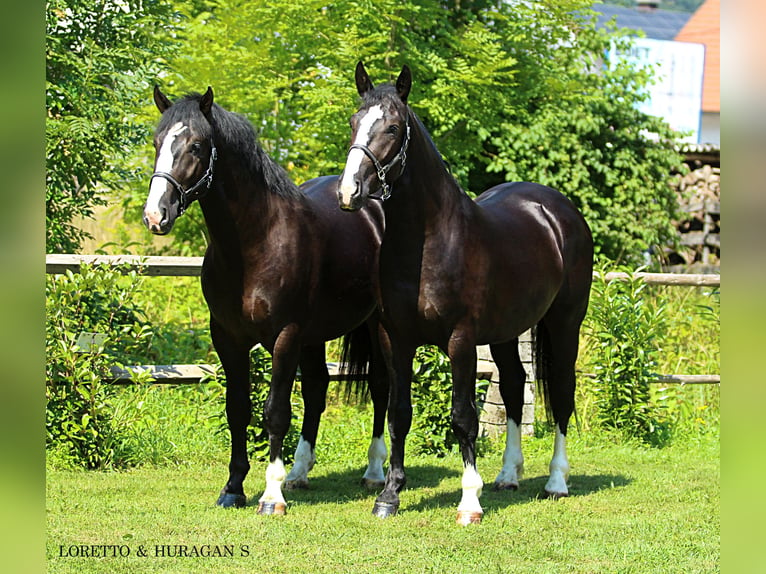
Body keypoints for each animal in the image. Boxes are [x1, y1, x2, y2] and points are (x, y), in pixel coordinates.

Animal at [142, 86, 390, 516]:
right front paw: (233, 488)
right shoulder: (228, 338)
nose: (156, 215)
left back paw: (374, 472)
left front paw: (271, 495)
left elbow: (275, 413)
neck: (255, 242)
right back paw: (299, 473)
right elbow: (238, 409)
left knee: (379, 386)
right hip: (314, 336)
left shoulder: (285, 336)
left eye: (195, 145)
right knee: (317, 390)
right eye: (157, 143)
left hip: (372, 324)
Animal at [336, 64, 592, 528]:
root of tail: (557, 210)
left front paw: (469, 501)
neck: (429, 242)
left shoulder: (460, 341)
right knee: (515, 386)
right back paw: (508, 476)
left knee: (562, 391)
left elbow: (463, 417)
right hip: (508, 331)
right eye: (354, 121)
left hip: (566, 322)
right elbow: (399, 414)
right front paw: (389, 495)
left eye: (393, 127)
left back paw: (555, 482)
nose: (349, 192)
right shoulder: (396, 340)